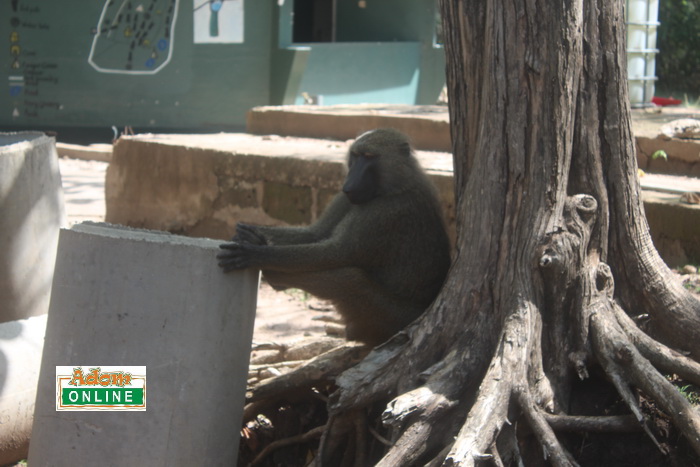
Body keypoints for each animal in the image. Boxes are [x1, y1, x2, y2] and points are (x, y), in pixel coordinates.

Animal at [217, 128, 451, 345]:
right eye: (355, 155)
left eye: (369, 156)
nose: (349, 183)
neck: (395, 185)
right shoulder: (347, 199)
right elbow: (316, 233)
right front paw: (250, 235)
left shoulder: (386, 212)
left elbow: (335, 253)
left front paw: (254, 253)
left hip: (396, 320)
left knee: (351, 279)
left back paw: (277, 278)